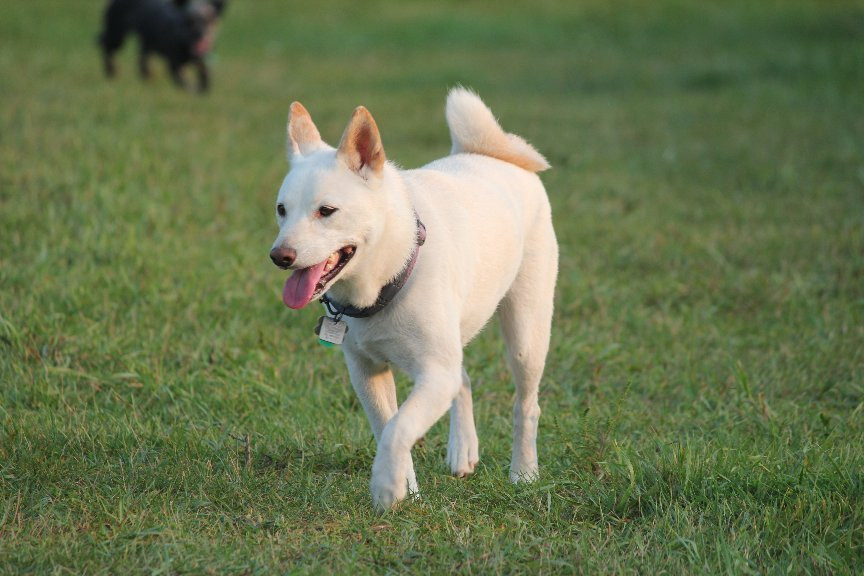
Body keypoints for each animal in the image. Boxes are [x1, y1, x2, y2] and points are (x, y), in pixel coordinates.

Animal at [98, 0, 226, 92]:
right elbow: (183, 82)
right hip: (116, 34)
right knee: (105, 46)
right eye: (188, 20)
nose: (200, 33)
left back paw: (147, 76)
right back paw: (110, 70)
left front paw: (202, 91)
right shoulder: (174, 64)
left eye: (209, 20)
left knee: (142, 58)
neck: (186, 42)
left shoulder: (201, 61)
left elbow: (205, 78)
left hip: (145, 41)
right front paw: (191, 91)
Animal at [266, 86, 556, 508]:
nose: (279, 256)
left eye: (327, 211)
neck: (391, 272)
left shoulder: (433, 374)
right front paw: (406, 491)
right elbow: (389, 426)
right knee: (463, 378)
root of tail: (491, 153)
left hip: (525, 336)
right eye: (281, 210)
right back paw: (463, 451)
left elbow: (398, 429)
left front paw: (387, 487)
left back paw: (524, 472)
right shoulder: (367, 372)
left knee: (526, 405)